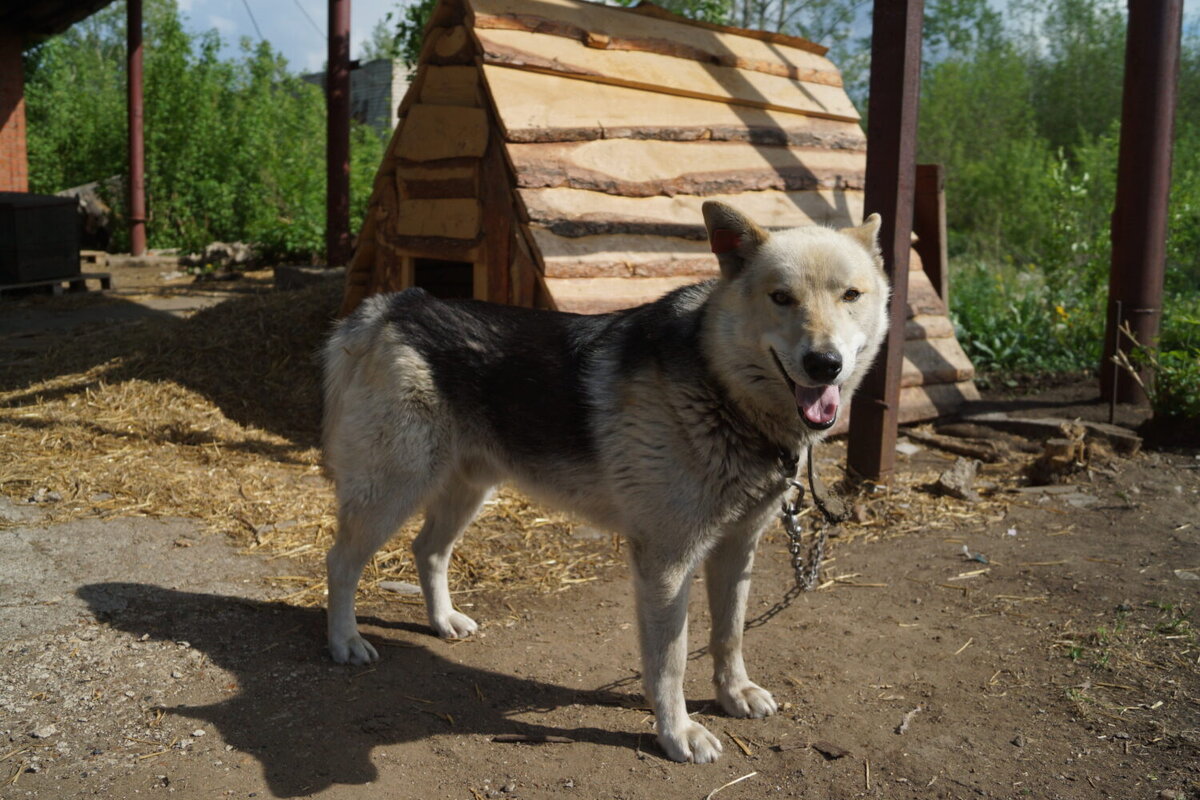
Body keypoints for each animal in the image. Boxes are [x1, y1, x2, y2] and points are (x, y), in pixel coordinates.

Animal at [321, 201, 892, 762]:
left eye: (851, 295)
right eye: (781, 297)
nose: (825, 364)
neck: (721, 388)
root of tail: (397, 305)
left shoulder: (737, 549)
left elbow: (728, 635)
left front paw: (734, 694)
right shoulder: (666, 564)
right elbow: (670, 660)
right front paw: (677, 733)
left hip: (466, 491)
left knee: (428, 551)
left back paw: (443, 620)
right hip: (391, 492)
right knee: (341, 562)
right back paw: (345, 641)